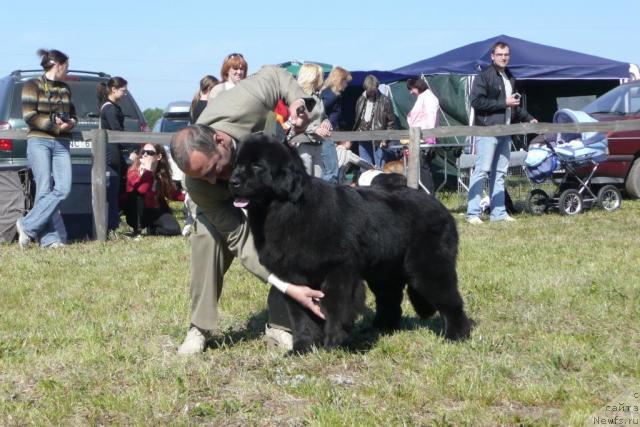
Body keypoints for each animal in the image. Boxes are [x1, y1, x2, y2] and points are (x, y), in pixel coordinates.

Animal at [229, 135, 470, 352]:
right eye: (237, 164)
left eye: (257, 165)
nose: (233, 181)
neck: (288, 209)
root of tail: (438, 205)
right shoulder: (295, 277)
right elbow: (301, 315)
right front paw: (303, 347)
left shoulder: (339, 269)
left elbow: (336, 306)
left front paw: (333, 343)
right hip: (384, 270)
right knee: (390, 298)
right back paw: (381, 328)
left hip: (428, 266)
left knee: (450, 300)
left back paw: (456, 335)